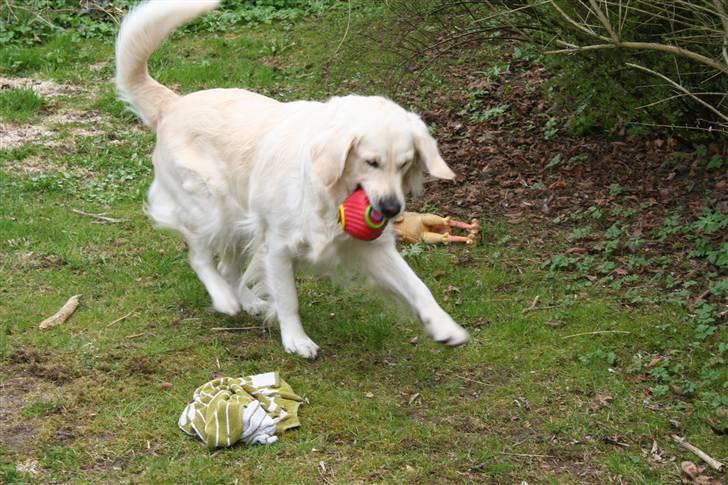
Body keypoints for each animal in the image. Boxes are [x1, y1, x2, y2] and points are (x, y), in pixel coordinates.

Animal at [114, 0, 466, 356]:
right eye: (371, 162)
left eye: (405, 165)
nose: (392, 209)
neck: (328, 193)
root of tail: (173, 103)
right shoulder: (278, 246)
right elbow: (288, 299)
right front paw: (296, 339)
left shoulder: (374, 249)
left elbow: (418, 286)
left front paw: (445, 326)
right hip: (213, 207)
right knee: (199, 256)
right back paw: (225, 299)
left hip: (241, 221)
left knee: (228, 268)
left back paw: (248, 301)